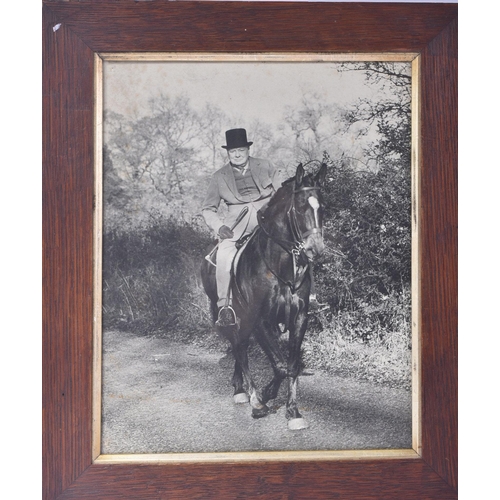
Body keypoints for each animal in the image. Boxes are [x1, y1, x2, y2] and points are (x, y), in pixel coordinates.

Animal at [200, 163, 328, 430]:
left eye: (323, 206)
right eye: (300, 207)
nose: (316, 250)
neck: (278, 265)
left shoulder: (298, 318)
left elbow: (291, 366)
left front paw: (293, 412)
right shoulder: (259, 319)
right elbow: (279, 366)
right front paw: (262, 398)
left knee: (240, 346)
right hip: (227, 314)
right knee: (238, 346)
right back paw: (246, 394)